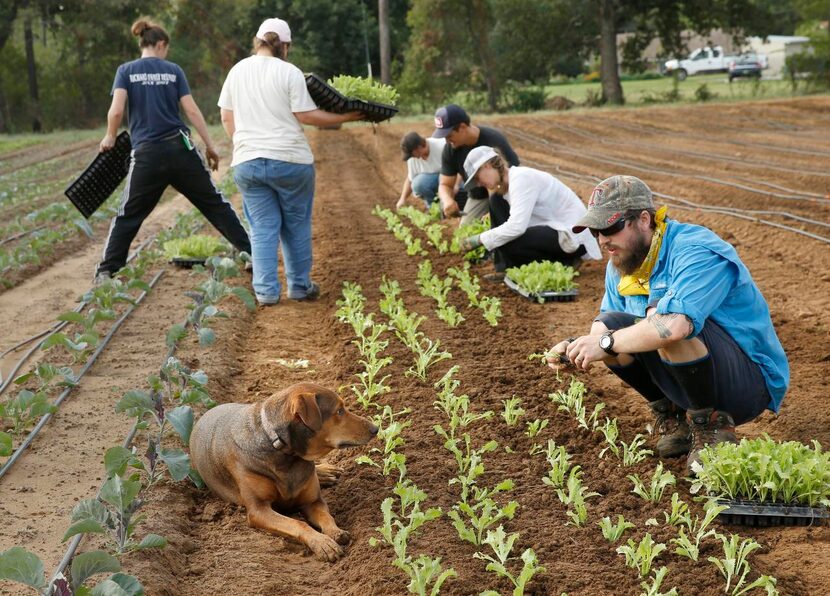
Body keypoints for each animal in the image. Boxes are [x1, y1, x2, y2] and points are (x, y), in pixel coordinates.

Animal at [190, 384, 378, 560]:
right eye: (339, 411)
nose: (375, 429)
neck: (286, 453)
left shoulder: (313, 501)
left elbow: (327, 517)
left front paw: (336, 532)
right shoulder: (259, 510)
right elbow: (298, 523)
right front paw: (322, 543)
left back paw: (325, 472)